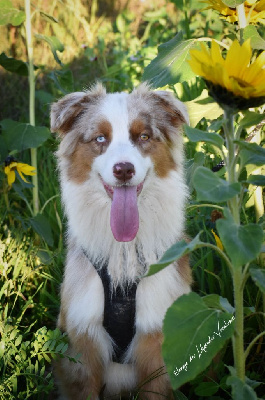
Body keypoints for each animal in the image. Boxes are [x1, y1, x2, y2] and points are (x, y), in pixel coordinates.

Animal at [50, 84, 190, 400]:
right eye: (100, 138)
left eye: (144, 137)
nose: (123, 170)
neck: (123, 253)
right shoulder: (83, 342)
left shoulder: (157, 339)